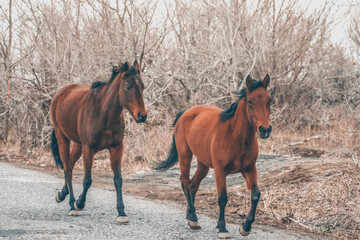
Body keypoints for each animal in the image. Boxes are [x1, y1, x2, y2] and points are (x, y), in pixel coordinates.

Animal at [50, 60, 147, 223]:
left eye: (143, 87)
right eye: (128, 86)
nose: (142, 115)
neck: (104, 113)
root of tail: (61, 92)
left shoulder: (116, 147)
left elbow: (118, 180)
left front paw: (122, 213)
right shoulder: (89, 148)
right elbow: (87, 180)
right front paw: (79, 203)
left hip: (78, 145)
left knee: (69, 164)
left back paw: (62, 194)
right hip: (63, 138)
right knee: (68, 169)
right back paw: (71, 204)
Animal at [154, 74, 270, 238]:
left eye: (269, 100)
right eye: (250, 101)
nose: (265, 129)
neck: (236, 136)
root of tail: (185, 113)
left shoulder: (249, 168)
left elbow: (255, 195)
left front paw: (246, 227)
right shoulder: (220, 170)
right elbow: (222, 198)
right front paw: (222, 228)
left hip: (203, 164)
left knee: (193, 185)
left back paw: (190, 216)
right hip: (185, 155)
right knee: (185, 182)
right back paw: (193, 218)